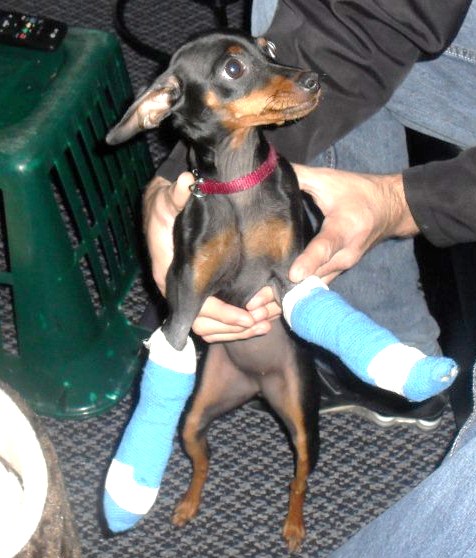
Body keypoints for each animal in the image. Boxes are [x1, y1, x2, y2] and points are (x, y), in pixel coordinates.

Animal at [107, 30, 321, 552]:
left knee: (299, 477)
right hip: (194, 417)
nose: (314, 79)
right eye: (233, 69)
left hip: (302, 419)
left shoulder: (289, 272)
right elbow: (173, 336)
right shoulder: (185, 295)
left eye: (269, 49)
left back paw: (294, 524)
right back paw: (186, 504)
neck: (237, 180)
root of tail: (257, 386)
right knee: (202, 460)